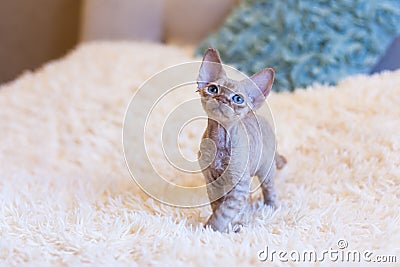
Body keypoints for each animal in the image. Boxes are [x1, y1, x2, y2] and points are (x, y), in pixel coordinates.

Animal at [196, 47, 284, 232]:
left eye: (238, 99)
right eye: (213, 89)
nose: (222, 99)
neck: (220, 141)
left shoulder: (239, 186)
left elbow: (223, 212)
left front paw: (211, 229)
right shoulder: (212, 182)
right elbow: (217, 206)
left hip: (265, 171)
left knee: (270, 189)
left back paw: (271, 207)